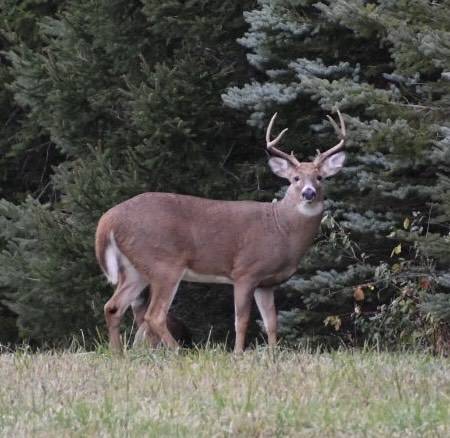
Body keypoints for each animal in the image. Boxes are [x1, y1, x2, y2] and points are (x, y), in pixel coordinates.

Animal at [96, 109, 348, 352]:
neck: (281, 229)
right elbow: (241, 320)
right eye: (295, 178)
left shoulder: (266, 283)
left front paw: (273, 355)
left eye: (320, 177)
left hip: (135, 268)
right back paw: (179, 352)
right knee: (154, 315)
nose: (308, 193)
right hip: (163, 263)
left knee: (113, 307)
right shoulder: (245, 271)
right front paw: (238, 354)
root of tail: (109, 219)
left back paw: (118, 355)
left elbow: (271, 323)